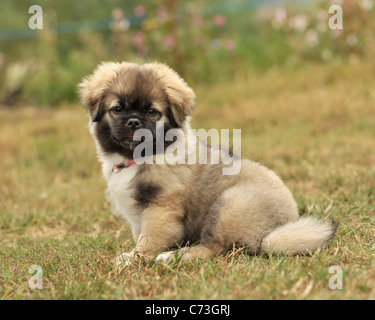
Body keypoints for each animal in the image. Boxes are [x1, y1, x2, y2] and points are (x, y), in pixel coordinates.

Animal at [78, 61, 340, 264]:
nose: (133, 122)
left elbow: (148, 241)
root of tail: (276, 230)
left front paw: (133, 258)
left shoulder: (161, 210)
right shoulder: (138, 217)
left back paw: (173, 257)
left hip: (230, 206)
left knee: (213, 248)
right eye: (117, 109)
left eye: (152, 112)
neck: (139, 158)